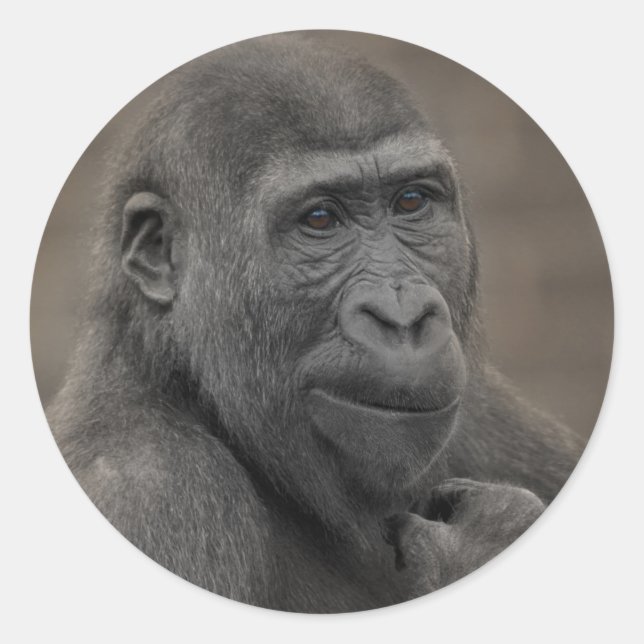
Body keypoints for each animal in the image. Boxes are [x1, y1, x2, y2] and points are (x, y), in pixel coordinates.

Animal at [45, 33, 584, 612]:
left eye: (411, 201)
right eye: (320, 220)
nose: (402, 315)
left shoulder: (482, 406)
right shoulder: (150, 492)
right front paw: (482, 542)